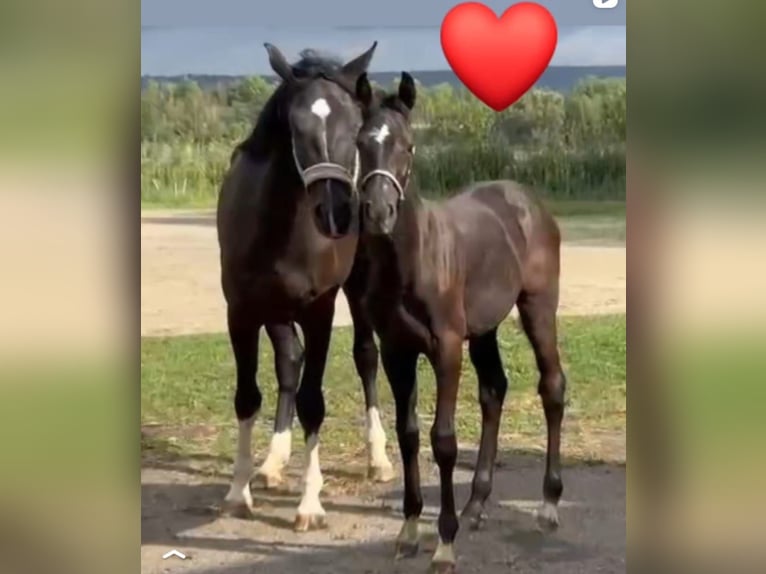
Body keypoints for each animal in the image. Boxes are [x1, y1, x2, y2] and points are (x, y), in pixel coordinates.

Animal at [215, 43, 395, 530]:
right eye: (295, 126)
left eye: (356, 127)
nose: (337, 213)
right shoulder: (241, 310)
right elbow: (248, 396)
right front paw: (238, 493)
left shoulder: (319, 309)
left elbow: (314, 400)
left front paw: (310, 504)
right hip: (276, 310)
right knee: (288, 362)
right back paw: (273, 462)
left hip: (355, 291)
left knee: (366, 357)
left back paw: (378, 458)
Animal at [353, 71, 568, 572]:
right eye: (360, 143)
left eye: (408, 145)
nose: (378, 213)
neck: (411, 261)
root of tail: (526, 199)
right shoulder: (396, 350)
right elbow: (409, 434)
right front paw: (409, 530)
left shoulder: (446, 348)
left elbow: (444, 440)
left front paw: (444, 544)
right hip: (485, 328)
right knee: (494, 391)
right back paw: (476, 505)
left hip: (537, 306)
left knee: (552, 386)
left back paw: (548, 504)